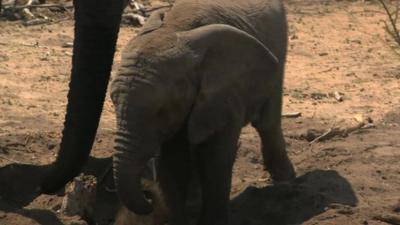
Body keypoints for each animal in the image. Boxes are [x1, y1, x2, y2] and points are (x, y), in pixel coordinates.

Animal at [111, 0, 296, 225]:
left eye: (160, 111)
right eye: (113, 103)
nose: (148, 196)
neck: (174, 28)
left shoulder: (224, 93)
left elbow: (215, 158)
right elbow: (173, 162)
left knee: (267, 121)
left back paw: (285, 182)